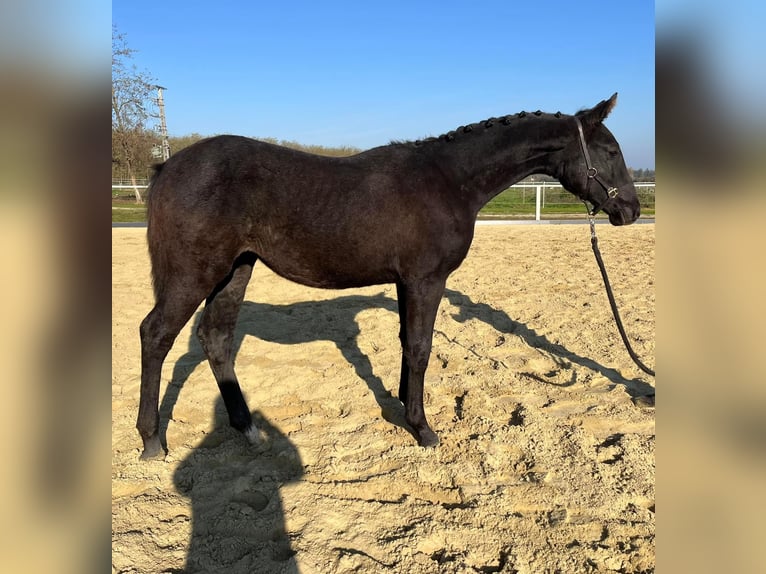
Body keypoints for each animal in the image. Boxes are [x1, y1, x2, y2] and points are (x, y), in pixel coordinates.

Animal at [136, 92, 640, 462]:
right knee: (156, 334)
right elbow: (420, 347)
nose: (631, 211)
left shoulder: (405, 281)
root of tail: (167, 166)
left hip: (235, 270)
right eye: (611, 151)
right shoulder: (425, 279)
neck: (448, 180)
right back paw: (152, 440)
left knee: (216, 338)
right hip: (195, 274)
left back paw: (249, 430)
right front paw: (422, 428)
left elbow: (405, 343)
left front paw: (402, 405)